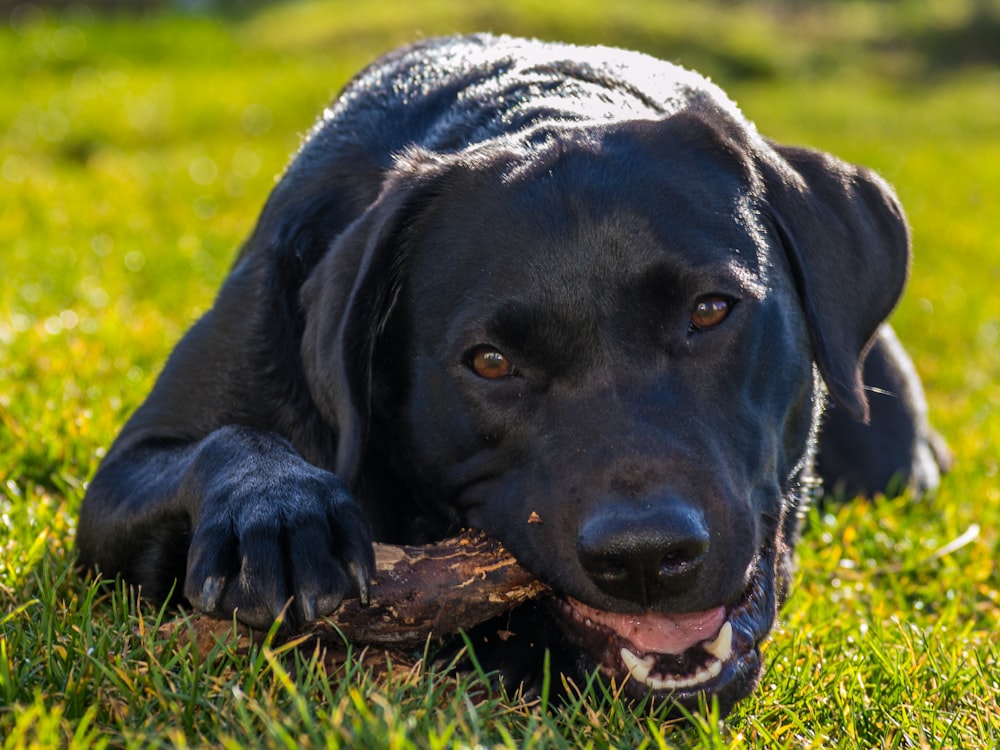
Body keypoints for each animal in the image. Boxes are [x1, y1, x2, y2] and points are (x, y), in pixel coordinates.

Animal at [78, 35, 944, 716]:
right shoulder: (126, 472)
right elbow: (224, 440)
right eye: (490, 362)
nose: (644, 556)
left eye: (709, 310)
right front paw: (278, 510)